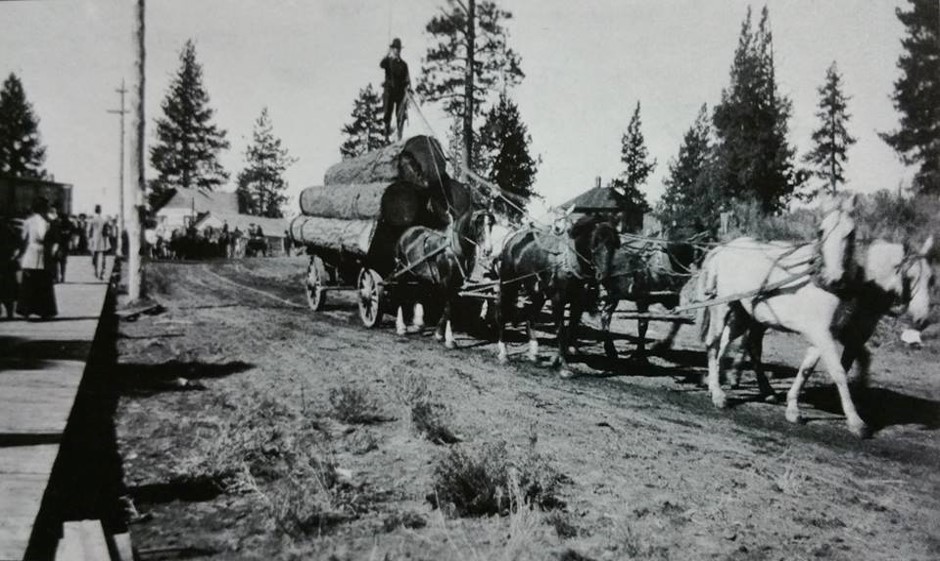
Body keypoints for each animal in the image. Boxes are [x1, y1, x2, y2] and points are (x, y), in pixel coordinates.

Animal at [392, 206, 496, 346]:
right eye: (478, 224)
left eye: (490, 225)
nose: (488, 250)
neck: (454, 248)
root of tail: (408, 232)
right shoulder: (447, 282)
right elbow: (448, 308)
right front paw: (446, 337)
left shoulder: (458, 283)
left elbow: (452, 309)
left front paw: (443, 334)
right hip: (402, 271)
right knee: (400, 294)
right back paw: (401, 327)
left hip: (421, 276)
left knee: (419, 293)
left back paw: (418, 324)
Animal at [496, 214, 620, 376]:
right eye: (594, 242)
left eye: (613, 244)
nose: (603, 275)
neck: (570, 264)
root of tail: (514, 239)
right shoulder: (557, 300)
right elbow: (560, 331)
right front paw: (564, 367)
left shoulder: (577, 303)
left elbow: (572, 329)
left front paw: (557, 360)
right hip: (509, 283)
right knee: (503, 313)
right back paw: (503, 352)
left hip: (538, 293)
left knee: (531, 318)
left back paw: (534, 353)